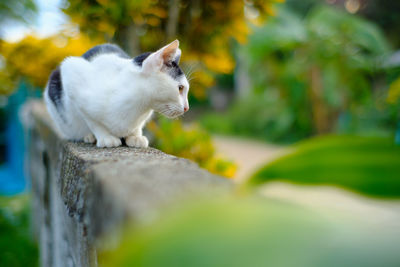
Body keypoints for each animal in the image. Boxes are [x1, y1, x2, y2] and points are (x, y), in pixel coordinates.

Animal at [43, 39, 190, 149]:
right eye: (180, 88)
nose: (187, 108)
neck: (138, 106)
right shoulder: (71, 72)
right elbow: (92, 121)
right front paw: (105, 137)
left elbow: (138, 126)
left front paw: (135, 136)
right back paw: (89, 136)